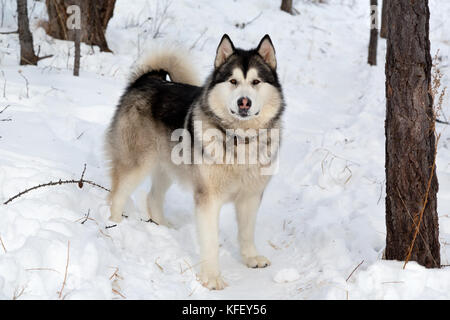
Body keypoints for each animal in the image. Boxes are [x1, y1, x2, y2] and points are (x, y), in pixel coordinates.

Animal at [105, 35, 284, 290]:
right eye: (233, 81)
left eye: (256, 82)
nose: (244, 102)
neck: (239, 140)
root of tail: (148, 79)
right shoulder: (208, 199)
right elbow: (210, 241)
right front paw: (211, 277)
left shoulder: (251, 195)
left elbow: (247, 232)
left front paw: (250, 257)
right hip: (136, 164)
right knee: (117, 196)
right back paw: (116, 226)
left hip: (168, 167)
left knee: (153, 197)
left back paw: (163, 227)